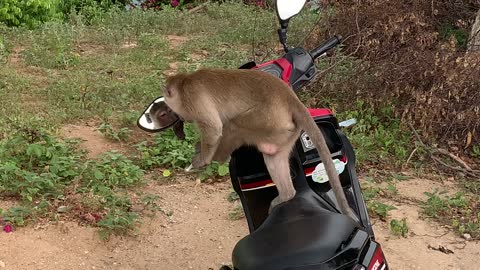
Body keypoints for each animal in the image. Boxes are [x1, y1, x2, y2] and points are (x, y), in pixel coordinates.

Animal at [163, 67, 358, 219]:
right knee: (273, 156)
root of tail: (291, 98)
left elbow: (214, 128)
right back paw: (286, 195)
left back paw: (219, 157)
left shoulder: (193, 97)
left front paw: (201, 159)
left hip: (268, 120)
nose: (180, 120)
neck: (185, 81)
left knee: (234, 126)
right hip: (285, 131)